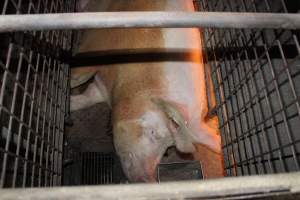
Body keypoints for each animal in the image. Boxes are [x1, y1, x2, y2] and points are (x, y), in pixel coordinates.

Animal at [70, 0, 220, 182]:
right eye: (153, 132)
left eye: (168, 148)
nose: (148, 178)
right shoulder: (98, 43)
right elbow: (78, 77)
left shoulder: (102, 88)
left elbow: (86, 98)